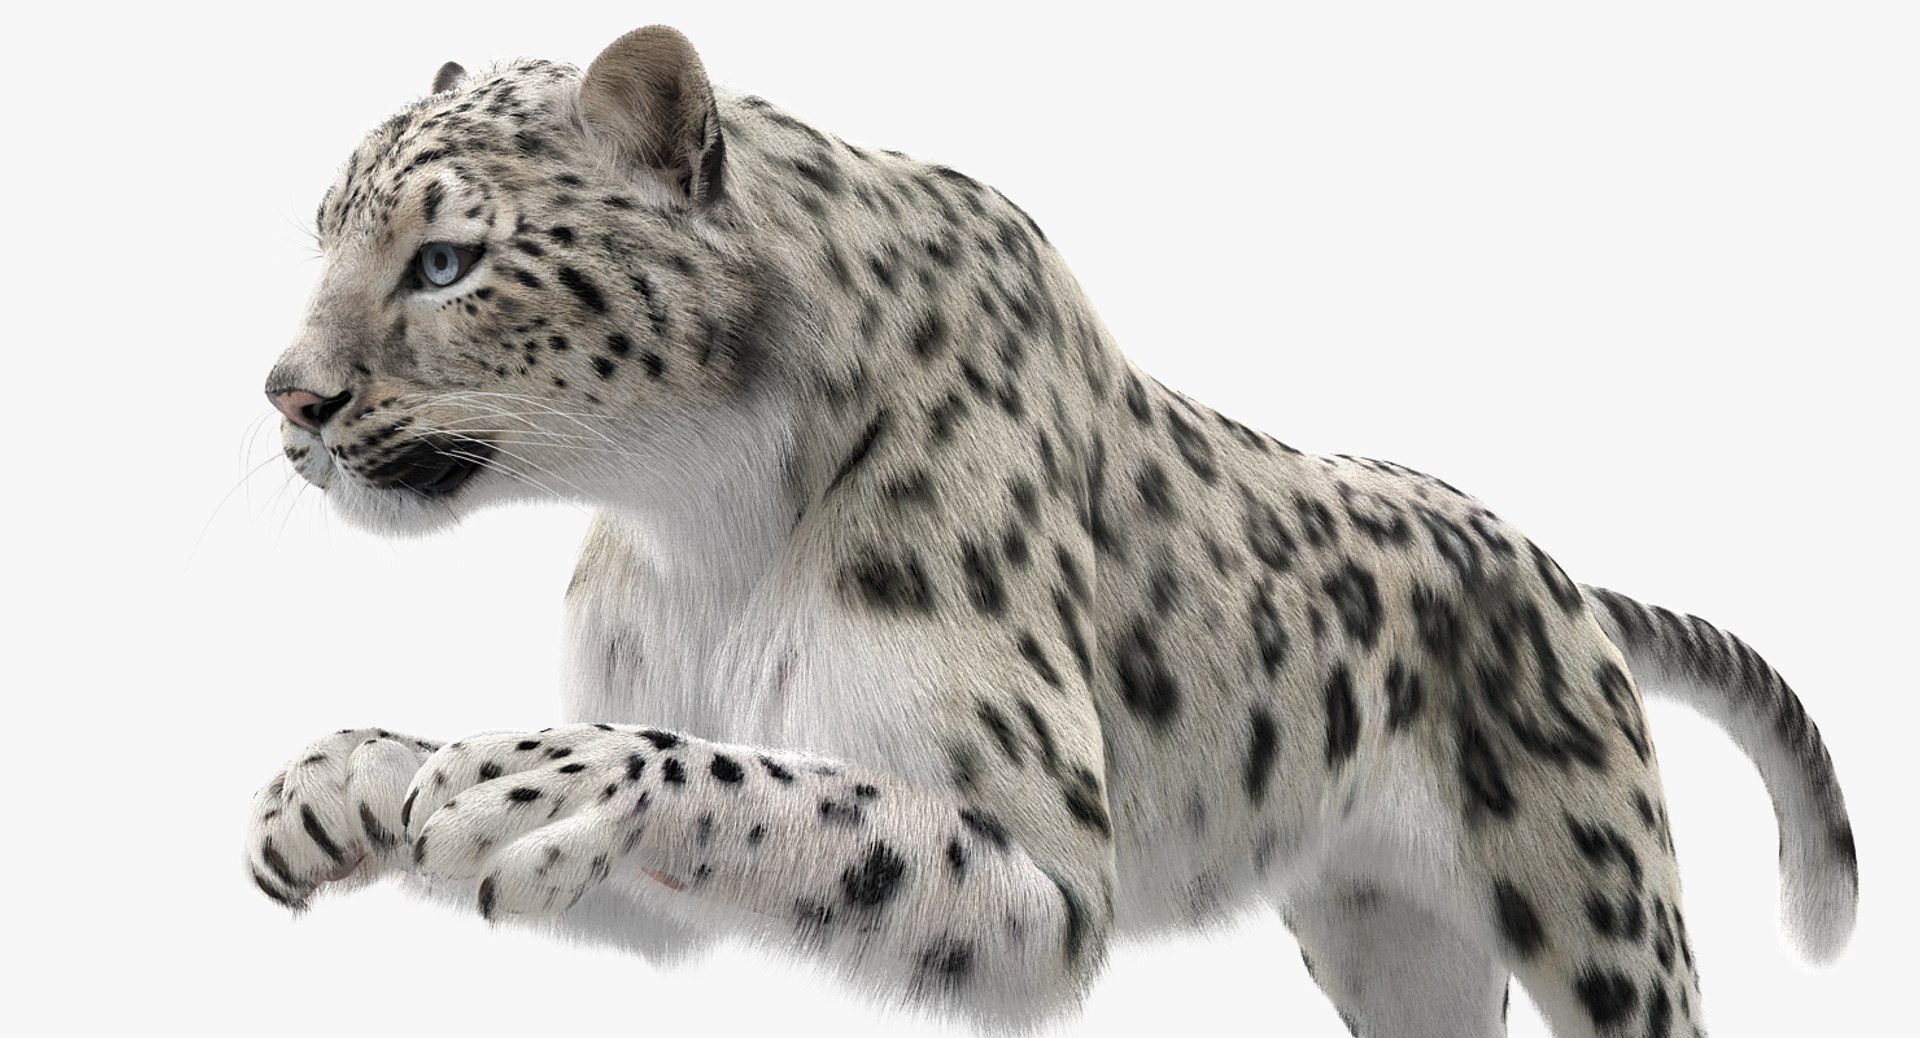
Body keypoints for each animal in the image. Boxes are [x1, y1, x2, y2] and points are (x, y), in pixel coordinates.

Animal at [246, 25, 1858, 1036]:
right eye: (323, 231)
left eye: (447, 260)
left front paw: (538, 774)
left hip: (1605, 914)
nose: (288, 396)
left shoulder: (1045, 873)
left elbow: (788, 790)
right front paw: (350, 780)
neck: (699, 523)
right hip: (1393, 942)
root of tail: (1557, 569)